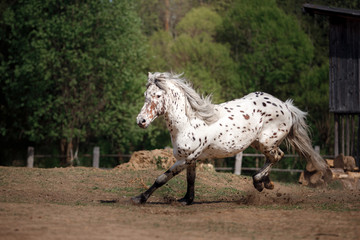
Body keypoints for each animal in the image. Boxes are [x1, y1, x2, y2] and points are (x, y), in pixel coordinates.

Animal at [131, 71, 330, 204]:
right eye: (145, 95)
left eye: (157, 95)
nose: (141, 121)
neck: (188, 122)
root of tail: (285, 106)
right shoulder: (191, 159)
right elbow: (191, 180)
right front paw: (186, 200)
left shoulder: (188, 157)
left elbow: (162, 178)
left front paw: (140, 198)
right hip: (258, 143)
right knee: (274, 157)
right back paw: (266, 183)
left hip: (266, 142)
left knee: (277, 156)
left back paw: (259, 182)